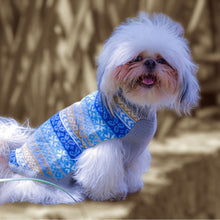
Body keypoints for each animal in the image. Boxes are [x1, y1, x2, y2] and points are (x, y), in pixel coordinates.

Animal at [0, 12, 199, 205]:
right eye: (136, 59)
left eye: (161, 60)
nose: (150, 62)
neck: (136, 107)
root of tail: (10, 163)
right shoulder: (104, 147)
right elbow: (105, 174)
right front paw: (112, 194)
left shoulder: (135, 152)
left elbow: (130, 171)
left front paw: (132, 186)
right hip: (47, 173)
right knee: (36, 191)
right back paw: (70, 194)